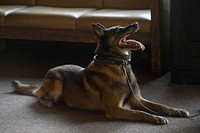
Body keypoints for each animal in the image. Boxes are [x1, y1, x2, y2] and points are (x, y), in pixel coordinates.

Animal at [12, 22, 189, 124]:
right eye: (117, 30)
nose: (136, 23)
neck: (119, 65)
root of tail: (44, 78)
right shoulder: (115, 109)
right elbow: (140, 113)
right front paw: (156, 118)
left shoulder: (136, 99)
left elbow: (160, 105)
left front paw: (177, 111)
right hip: (56, 83)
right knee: (37, 94)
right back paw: (46, 101)